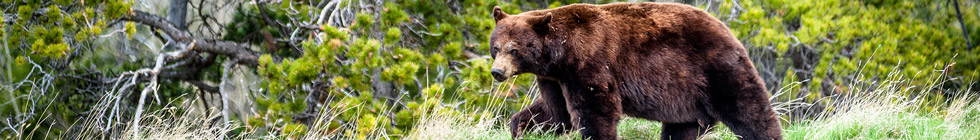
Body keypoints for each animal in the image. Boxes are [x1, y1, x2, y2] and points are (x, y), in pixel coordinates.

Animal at [494, 2, 784, 140]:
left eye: (514, 49)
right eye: (495, 47)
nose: (497, 72)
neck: (560, 53)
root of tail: (727, 29)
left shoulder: (590, 62)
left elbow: (596, 111)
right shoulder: (554, 78)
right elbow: (556, 113)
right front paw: (520, 127)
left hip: (714, 68)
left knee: (748, 109)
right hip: (685, 95)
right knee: (682, 129)